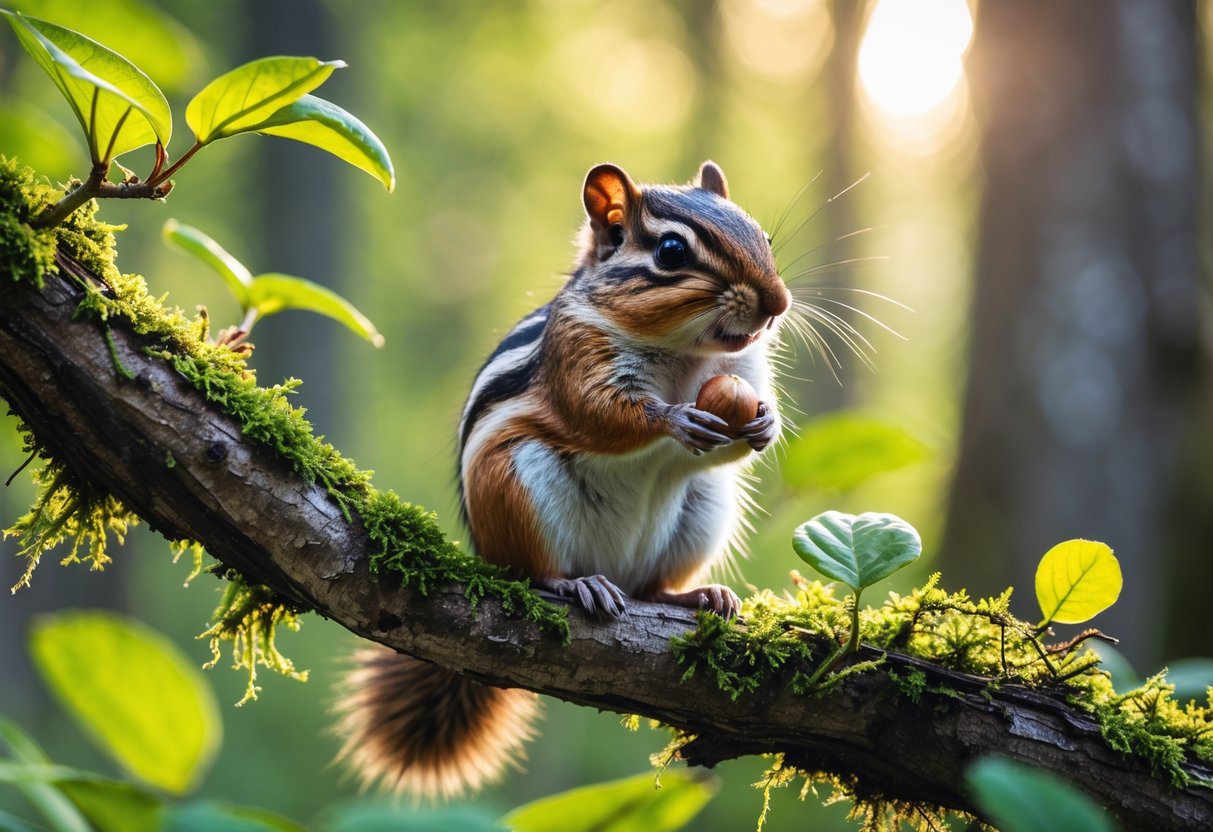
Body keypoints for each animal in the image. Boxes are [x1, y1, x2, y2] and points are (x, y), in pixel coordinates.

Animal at [336, 160, 790, 799]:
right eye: (672, 251)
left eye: (765, 239)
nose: (778, 302)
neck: (686, 354)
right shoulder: (578, 355)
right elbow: (602, 414)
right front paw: (674, 419)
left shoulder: (744, 371)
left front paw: (766, 423)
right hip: (519, 485)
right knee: (533, 572)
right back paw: (579, 585)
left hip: (702, 514)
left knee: (652, 587)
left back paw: (698, 595)